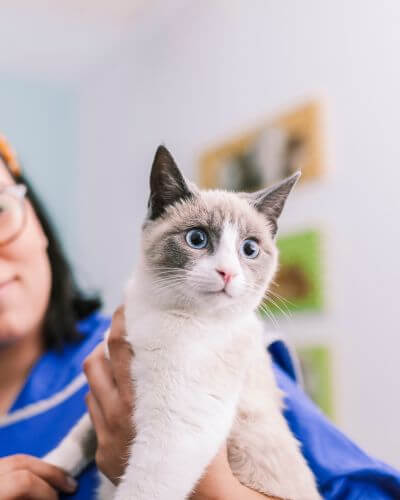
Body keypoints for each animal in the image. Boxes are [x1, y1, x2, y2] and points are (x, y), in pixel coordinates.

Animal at [43, 146, 320, 500]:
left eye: (249, 249)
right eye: (197, 239)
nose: (227, 272)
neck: (162, 310)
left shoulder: (176, 428)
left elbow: (140, 489)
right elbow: (79, 435)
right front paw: (46, 470)